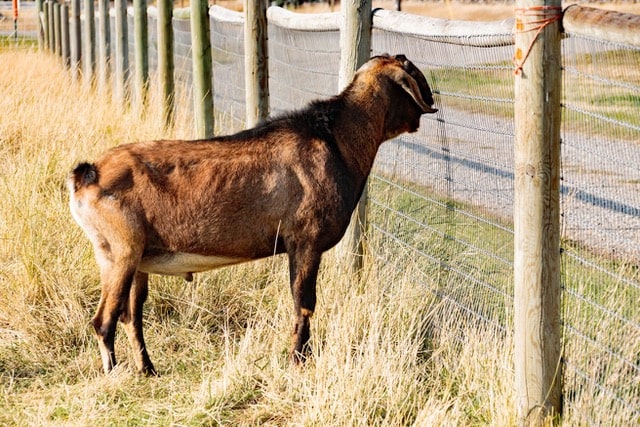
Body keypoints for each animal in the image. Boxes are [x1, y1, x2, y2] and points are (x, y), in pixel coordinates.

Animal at [69, 52, 436, 374]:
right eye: (413, 74)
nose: (432, 101)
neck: (336, 141)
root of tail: (87, 174)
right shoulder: (305, 242)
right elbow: (304, 303)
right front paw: (298, 362)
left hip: (136, 259)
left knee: (131, 315)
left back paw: (148, 369)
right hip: (119, 252)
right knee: (103, 320)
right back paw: (114, 373)